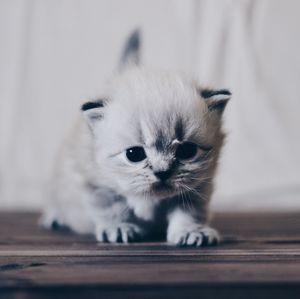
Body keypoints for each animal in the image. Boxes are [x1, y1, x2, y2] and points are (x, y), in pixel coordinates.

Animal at [41, 29, 231, 247]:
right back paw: (55, 218)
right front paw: (119, 228)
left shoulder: (197, 187)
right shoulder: (96, 182)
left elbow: (189, 213)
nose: (163, 172)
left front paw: (191, 231)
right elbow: (112, 209)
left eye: (187, 151)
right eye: (134, 154)